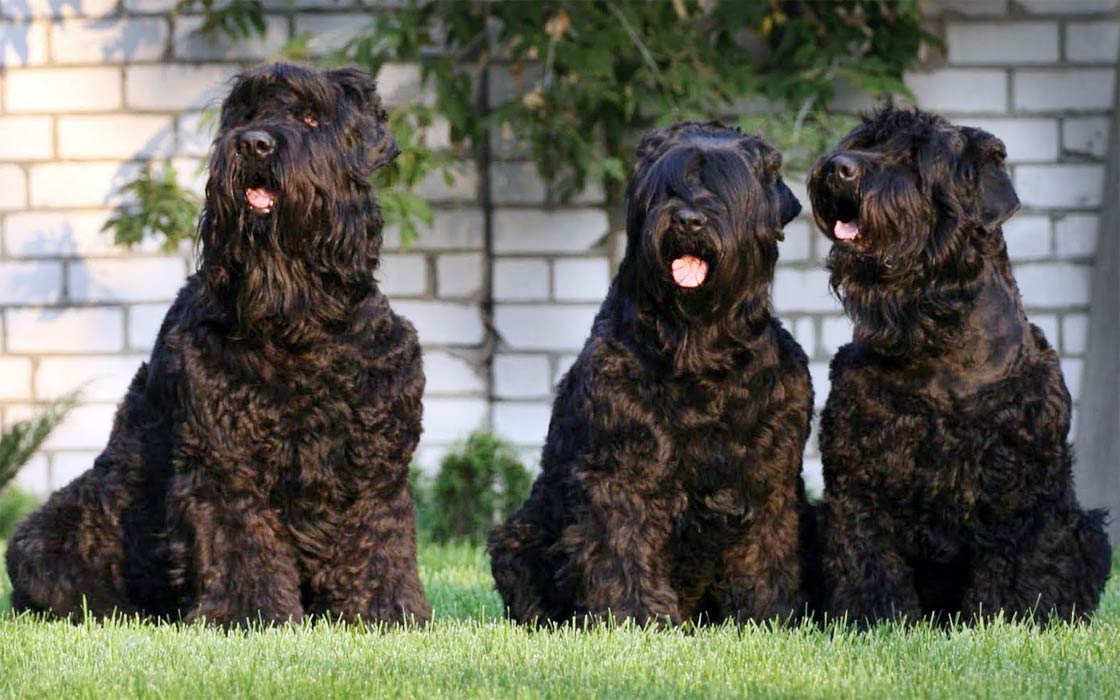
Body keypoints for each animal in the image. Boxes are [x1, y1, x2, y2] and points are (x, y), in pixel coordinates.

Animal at [7, 62, 427, 627]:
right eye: (246, 115)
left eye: (311, 117)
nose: (253, 144)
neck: (300, 323)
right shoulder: (222, 454)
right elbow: (240, 538)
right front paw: (249, 614)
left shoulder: (374, 455)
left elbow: (378, 535)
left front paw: (386, 611)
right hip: (46, 535)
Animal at [488, 119, 815, 622]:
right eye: (665, 187)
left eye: (727, 185)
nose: (689, 220)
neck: (701, 352)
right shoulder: (622, 465)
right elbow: (623, 543)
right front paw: (636, 617)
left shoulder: (770, 471)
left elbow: (766, 550)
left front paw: (771, 615)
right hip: (520, 537)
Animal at [806, 106, 1111, 627]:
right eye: (865, 141)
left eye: (915, 156)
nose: (836, 168)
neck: (936, 334)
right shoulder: (858, 480)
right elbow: (867, 558)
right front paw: (877, 620)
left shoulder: (1024, 486)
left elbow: (1020, 564)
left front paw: (1012, 621)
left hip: (1090, 529)